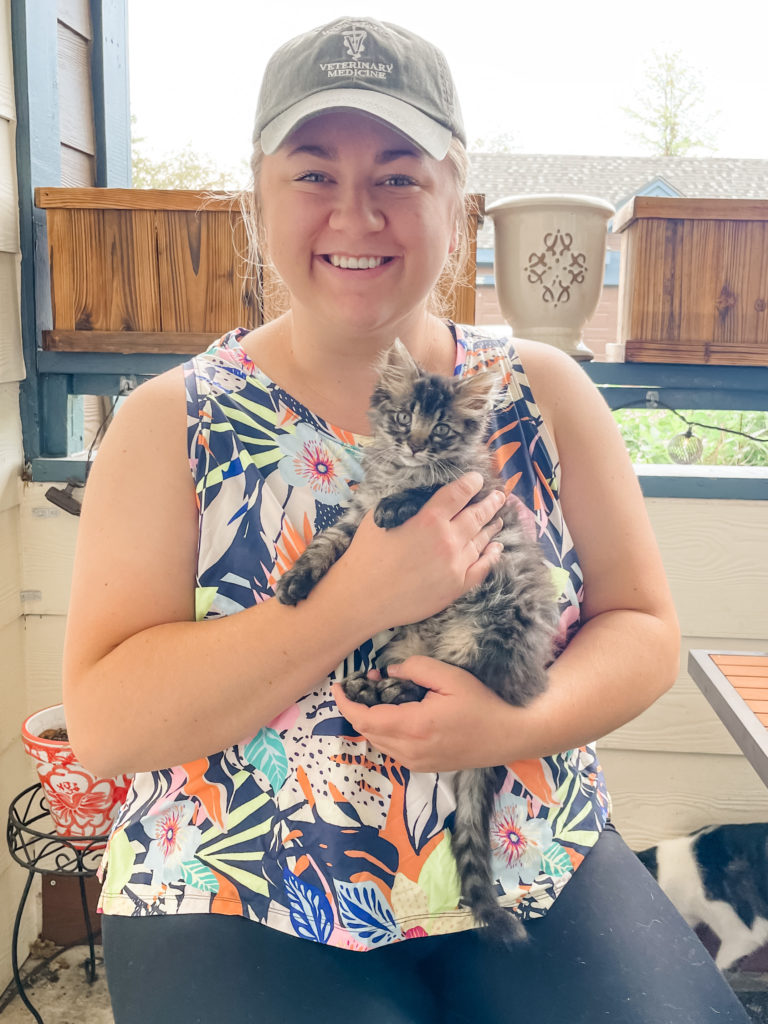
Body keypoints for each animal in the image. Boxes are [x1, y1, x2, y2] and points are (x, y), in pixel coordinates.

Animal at [276, 337, 561, 942]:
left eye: (443, 429)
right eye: (405, 418)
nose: (414, 443)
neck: (397, 475)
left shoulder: (468, 493)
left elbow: (428, 491)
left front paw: (401, 505)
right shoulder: (353, 520)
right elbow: (325, 545)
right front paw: (296, 581)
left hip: (490, 628)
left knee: (450, 688)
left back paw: (391, 693)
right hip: (409, 645)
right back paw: (370, 690)